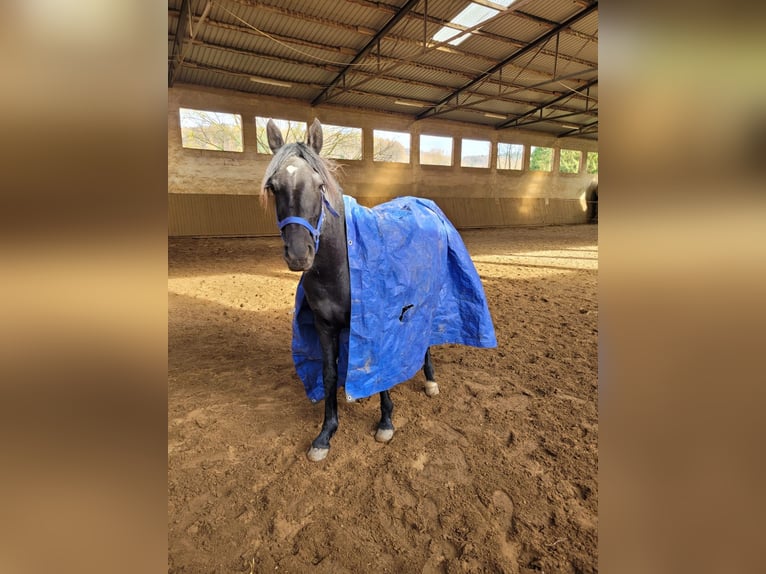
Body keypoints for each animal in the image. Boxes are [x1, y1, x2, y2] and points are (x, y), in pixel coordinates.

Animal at [261, 118, 496, 462]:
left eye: (319, 185)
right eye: (274, 187)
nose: (299, 254)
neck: (342, 264)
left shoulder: (379, 320)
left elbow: (382, 365)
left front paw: (386, 421)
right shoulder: (324, 326)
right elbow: (330, 374)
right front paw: (326, 434)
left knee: (425, 337)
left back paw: (430, 381)